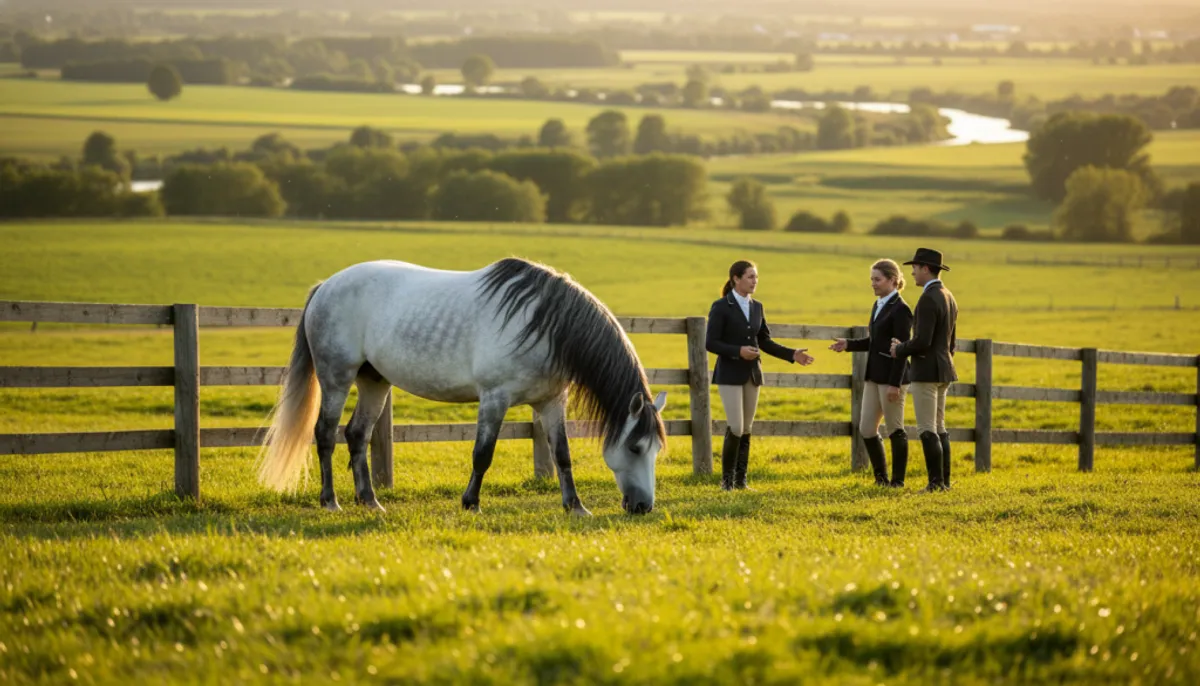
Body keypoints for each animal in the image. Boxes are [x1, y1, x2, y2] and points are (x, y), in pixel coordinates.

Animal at [255, 257, 668, 516]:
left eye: (656, 450)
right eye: (634, 447)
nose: (643, 507)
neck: (546, 324)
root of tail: (327, 285)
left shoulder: (551, 403)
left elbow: (562, 455)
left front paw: (576, 506)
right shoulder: (495, 398)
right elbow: (482, 454)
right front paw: (471, 503)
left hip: (375, 382)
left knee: (357, 434)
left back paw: (370, 500)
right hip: (336, 378)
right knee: (325, 434)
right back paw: (330, 501)